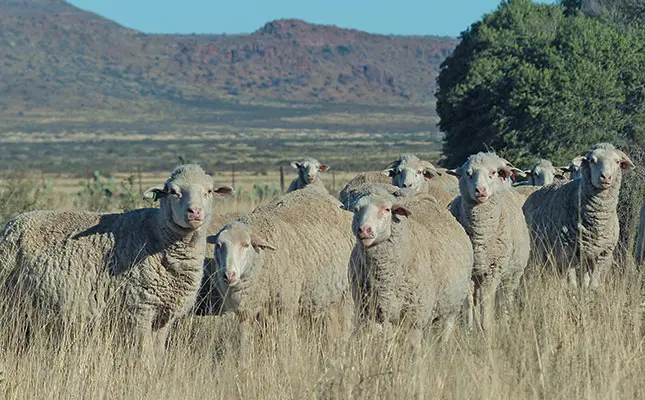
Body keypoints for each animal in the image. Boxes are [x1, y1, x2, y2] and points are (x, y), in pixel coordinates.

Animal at [0, 164, 234, 349]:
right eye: (172, 192)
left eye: (209, 191)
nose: (194, 212)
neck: (155, 234)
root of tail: (12, 223)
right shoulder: (139, 309)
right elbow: (145, 355)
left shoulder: (164, 316)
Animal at [201, 185, 355, 356]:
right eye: (218, 245)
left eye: (246, 245)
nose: (229, 275)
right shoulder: (246, 311)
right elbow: (245, 340)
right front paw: (244, 360)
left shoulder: (285, 307)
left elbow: (286, 339)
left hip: (345, 292)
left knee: (345, 323)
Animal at [347, 185, 472, 344]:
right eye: (356, 209)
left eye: (387, 209)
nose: (364, 230)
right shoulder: (372, 313)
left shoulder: (415, 316)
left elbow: (413, 345)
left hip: (450, 307)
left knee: (445, 330)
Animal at [448, 152, 530, 331]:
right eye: (468, 173)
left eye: (493, 172)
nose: (481, 190)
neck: (480, 236)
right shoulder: (470, 271)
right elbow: (469, 302)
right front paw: (469, 328)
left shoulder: (493, 270)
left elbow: (487, 301)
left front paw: (487, 328)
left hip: (513, 273)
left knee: (506, 297)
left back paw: (505, 322)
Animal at [522, 143, 634, 288]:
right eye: (592, 160)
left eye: (617, 162)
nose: (606, 177)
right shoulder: (566, 251)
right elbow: (572, 284)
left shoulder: (603, 254)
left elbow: (593, 284)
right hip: (536, 252)